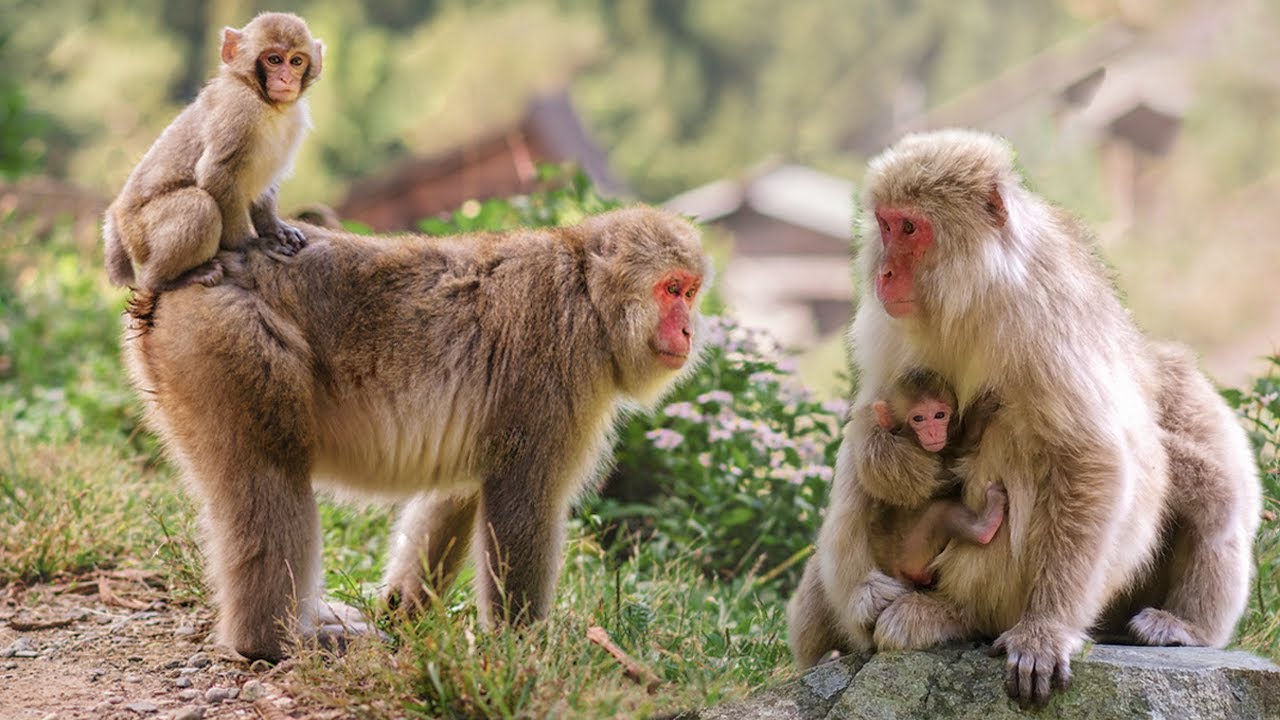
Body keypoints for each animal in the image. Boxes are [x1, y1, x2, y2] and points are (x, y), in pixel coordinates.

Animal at [104, 13, 325, 288]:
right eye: (274, 59)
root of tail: (118, 215)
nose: (286, 79)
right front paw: (250, 244)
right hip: (140, 234)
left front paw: (273, 228)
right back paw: (164, 280)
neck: (263, 100)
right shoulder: (238, 109)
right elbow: (216, 172)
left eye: (296, 61)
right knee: (199, 206)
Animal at [122, 204, 711, 661]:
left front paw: (403, 609)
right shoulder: (557, 360)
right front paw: (525, 648)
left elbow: (461, 491)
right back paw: (269, 640)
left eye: (691, 292)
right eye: (671, 289)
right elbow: (523, 498)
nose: (688, 329)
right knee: (271, 472)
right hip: (226, 338)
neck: (588, 296)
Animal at [870, 366, 1008, 586]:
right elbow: (955, 463)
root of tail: (894, 567)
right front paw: (978, 418)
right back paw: (985, 527)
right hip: (913, 548)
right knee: (941, 512)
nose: (933, 433)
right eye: (918, 419)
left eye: (939, 415)